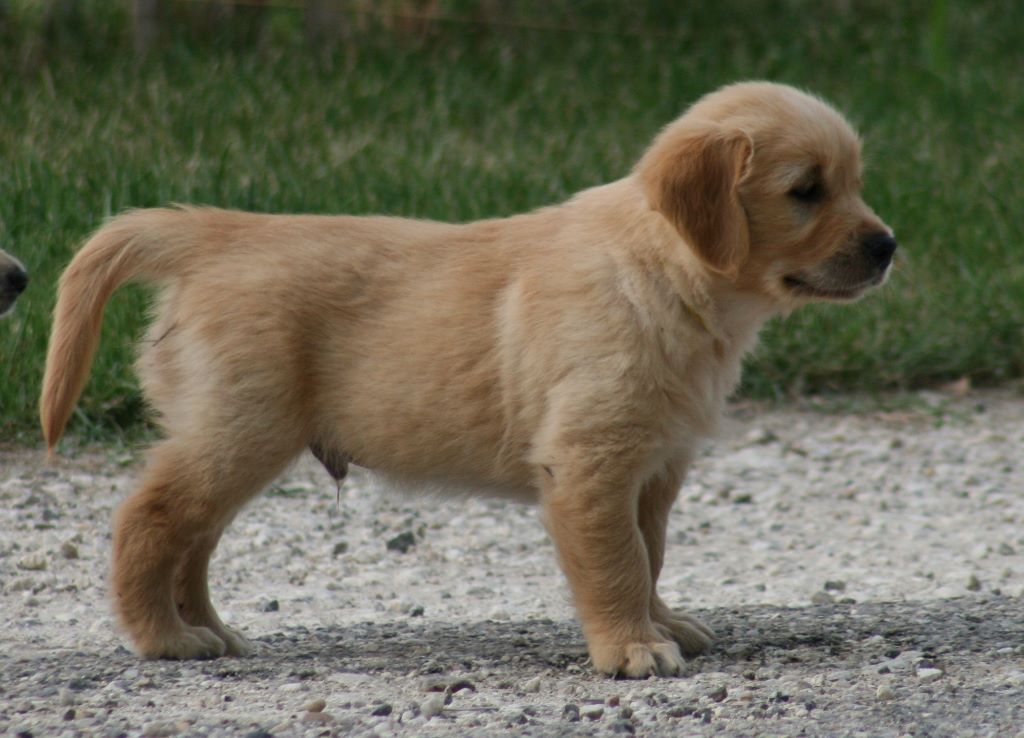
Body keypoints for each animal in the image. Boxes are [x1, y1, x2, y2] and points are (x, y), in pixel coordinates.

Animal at [40, 82, 895, 677]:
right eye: (806, 189)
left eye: (852, 181)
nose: (888, 246)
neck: (668, 272)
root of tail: (215, 232)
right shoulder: (590, 462)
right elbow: (616, 562)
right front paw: (631, 647)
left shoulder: (653, 468)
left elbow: (648, 553)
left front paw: (661, 623)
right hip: (239, 430)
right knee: (149, 519)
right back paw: (161, 637)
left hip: (233, 438)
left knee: (194, 536)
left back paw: (208, 628)